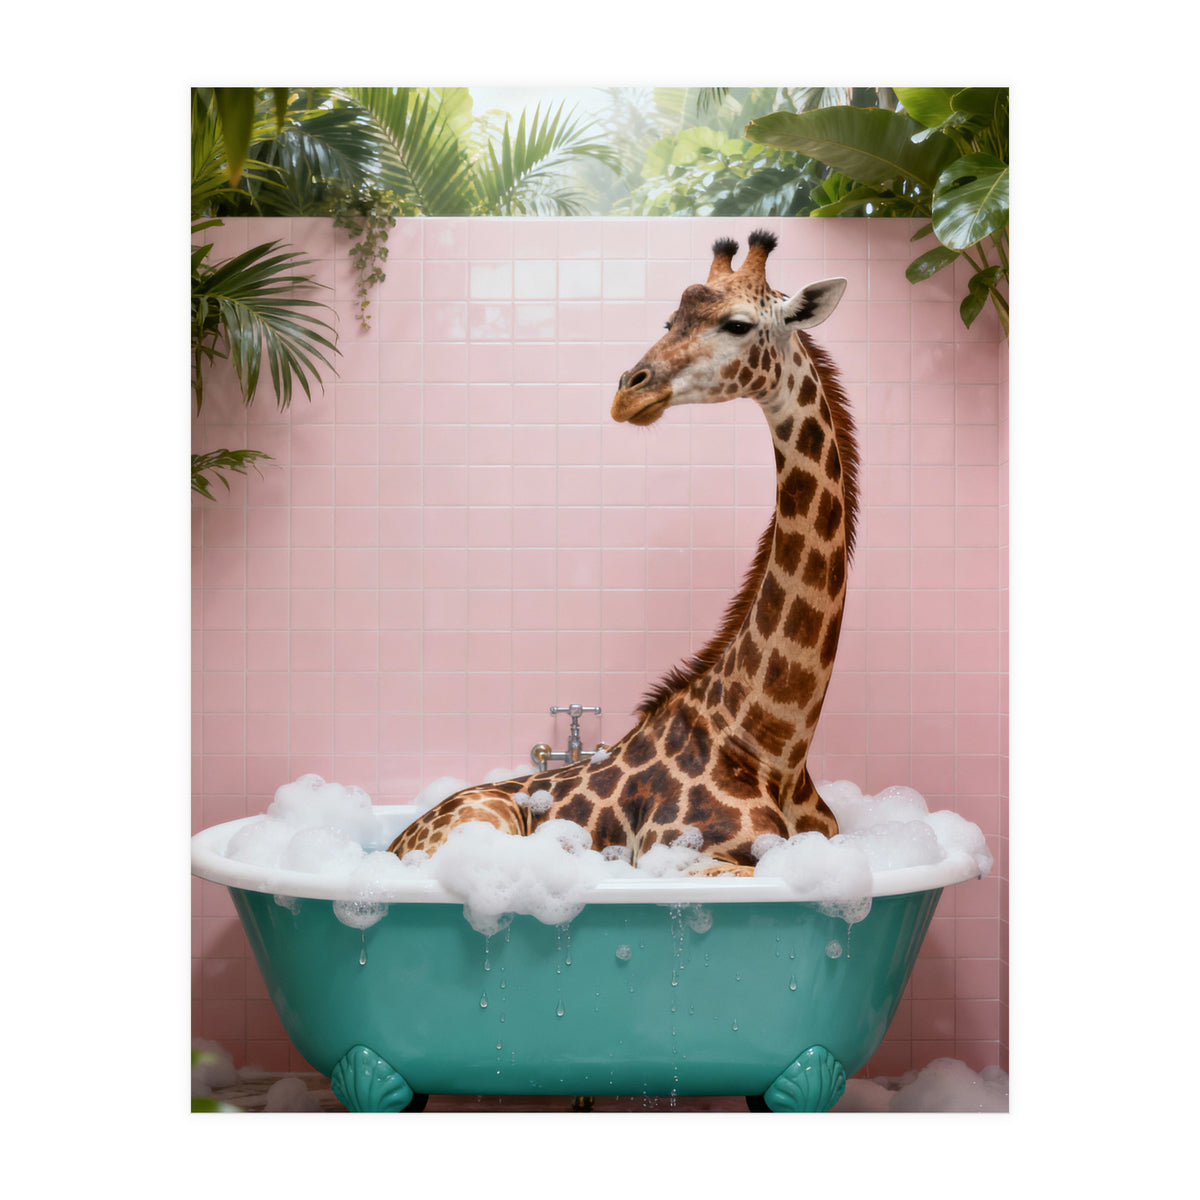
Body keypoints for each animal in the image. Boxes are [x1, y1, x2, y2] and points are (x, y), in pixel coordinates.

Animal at [389, 230, 859, 876]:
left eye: (738, 324)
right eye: (669, 319)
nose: (628, 392)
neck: (775, 746)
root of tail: (393, 843)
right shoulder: (679, 855)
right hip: (489, 819)